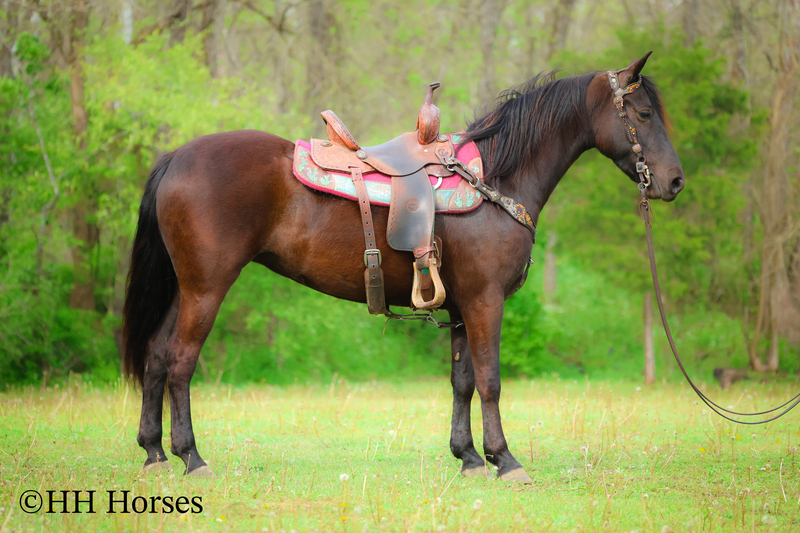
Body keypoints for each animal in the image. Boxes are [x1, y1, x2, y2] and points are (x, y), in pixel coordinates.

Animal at [122, 52, 684, 482]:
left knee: (155, 356)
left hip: (184, 287)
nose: (675, 181)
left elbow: (462, 381)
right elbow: (490, 380)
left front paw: (469, 458)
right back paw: (192, 457)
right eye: (643, 113)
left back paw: (154, 452)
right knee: (180, 361)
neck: (496, 177)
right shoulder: (485, 301)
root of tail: (175, 157)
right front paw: (505, 460)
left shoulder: (460, 307)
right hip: (207, 286)